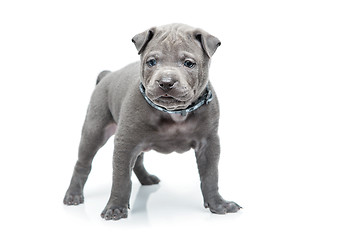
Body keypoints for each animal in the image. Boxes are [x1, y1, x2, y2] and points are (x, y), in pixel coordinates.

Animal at [63, 23, 240, 220]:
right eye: (151, 62)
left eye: (189, 63)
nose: (166, 82)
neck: (175, 113)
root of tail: (108, 75)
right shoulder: (125, 142)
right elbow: (121, 177)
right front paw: (115, 207)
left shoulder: (208, 144)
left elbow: (210, 176)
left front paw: (218, 204)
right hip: (94, 131)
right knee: (83, 163)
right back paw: (73, 195)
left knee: (137, 161)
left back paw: (146, 179)